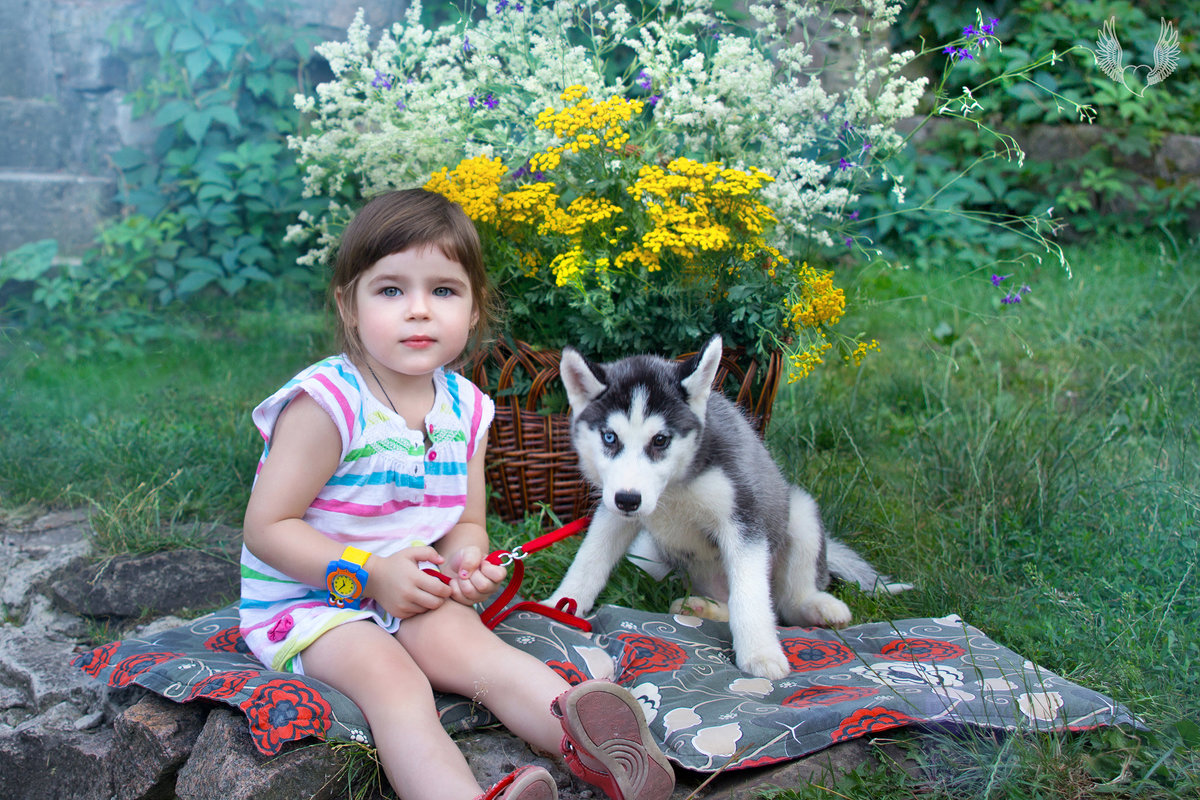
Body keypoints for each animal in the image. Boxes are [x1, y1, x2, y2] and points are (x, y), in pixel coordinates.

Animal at [549, 335, 902, 681]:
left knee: (785, 604)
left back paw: (819, 608)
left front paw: (760, 654)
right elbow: (589, 561)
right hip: (650, 555)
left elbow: (750, 592)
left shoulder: (744, 517)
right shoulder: (613, 513)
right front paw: (558, 606)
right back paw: (699, 608)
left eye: (660, 440)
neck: (673, 489)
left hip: (799, 512)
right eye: (610, 437)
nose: (628, 499)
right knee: (729, 600)